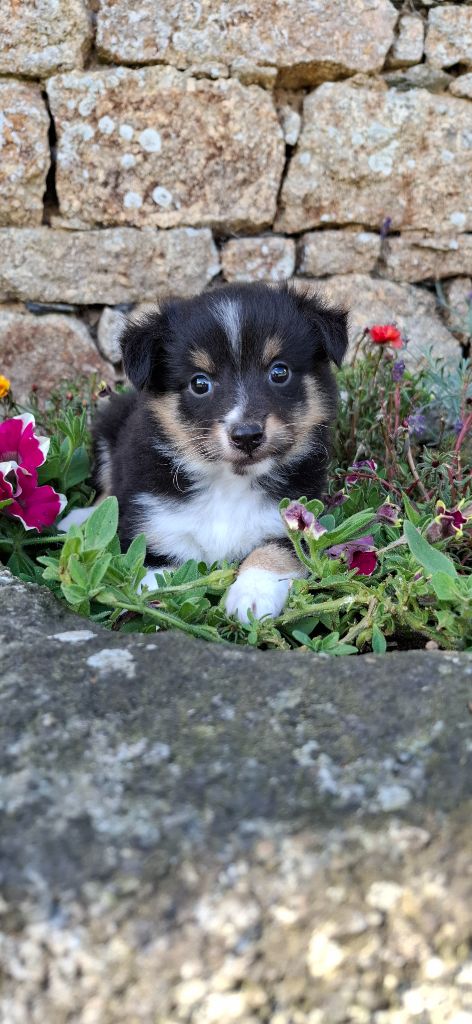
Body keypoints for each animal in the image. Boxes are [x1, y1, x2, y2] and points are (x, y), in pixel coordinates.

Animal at [67, 280, 346, 618]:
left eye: (279, 372)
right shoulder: (151, 530)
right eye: (200, 383)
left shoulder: (294, 519)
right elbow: (153, 580)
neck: (228, 484)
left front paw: (252, 596)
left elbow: (273, 553)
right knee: (106, 493)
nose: (247, 436)